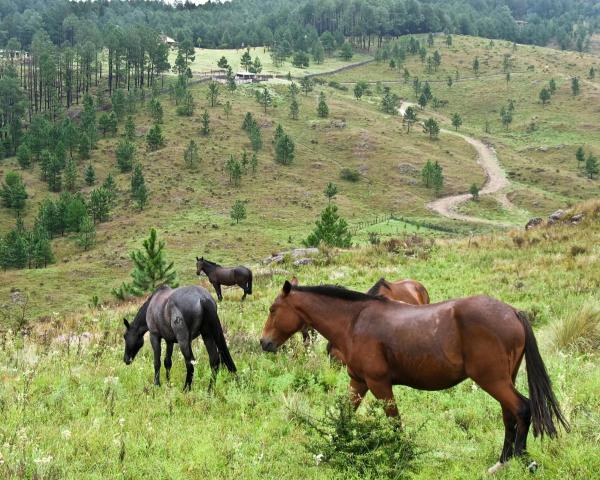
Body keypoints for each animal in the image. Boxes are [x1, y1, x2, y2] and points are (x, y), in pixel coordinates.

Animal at [260, 282, 568, 472]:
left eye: (273, 310)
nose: (264, 343)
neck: (354, 322)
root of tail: (512, 312)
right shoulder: (358, 382)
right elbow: (345, 415)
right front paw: (329, 452)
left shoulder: (379, 385)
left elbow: (395, 424)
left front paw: (401, 458)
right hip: (504, 380)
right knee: (509, 416)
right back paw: (502, 463)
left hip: (493, 381)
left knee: (522, 409)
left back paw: (522, 461)